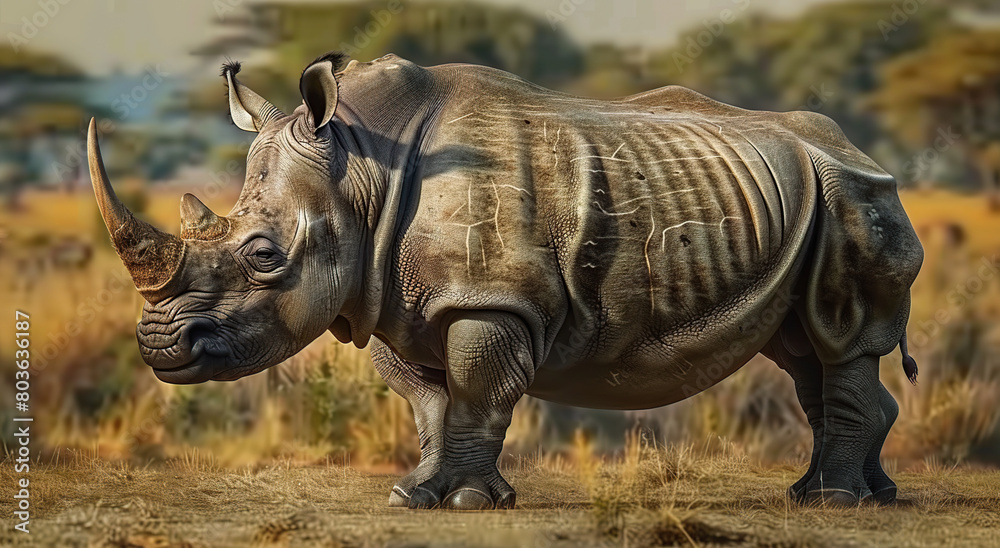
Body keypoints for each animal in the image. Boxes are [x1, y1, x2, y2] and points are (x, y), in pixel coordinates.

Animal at [89, 52, 923, 510]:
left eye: (263, 254)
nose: (160, 347)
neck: (360, 170)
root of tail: (861, 149)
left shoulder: (489, 298)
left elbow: (478, 392)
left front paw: (462, 501)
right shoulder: (391, 294)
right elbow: (429, 401)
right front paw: (417, 493)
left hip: (855, 198)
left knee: (839, 340)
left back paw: (832, 500)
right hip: (807, 203)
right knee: (805, 351)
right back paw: (858, 497)